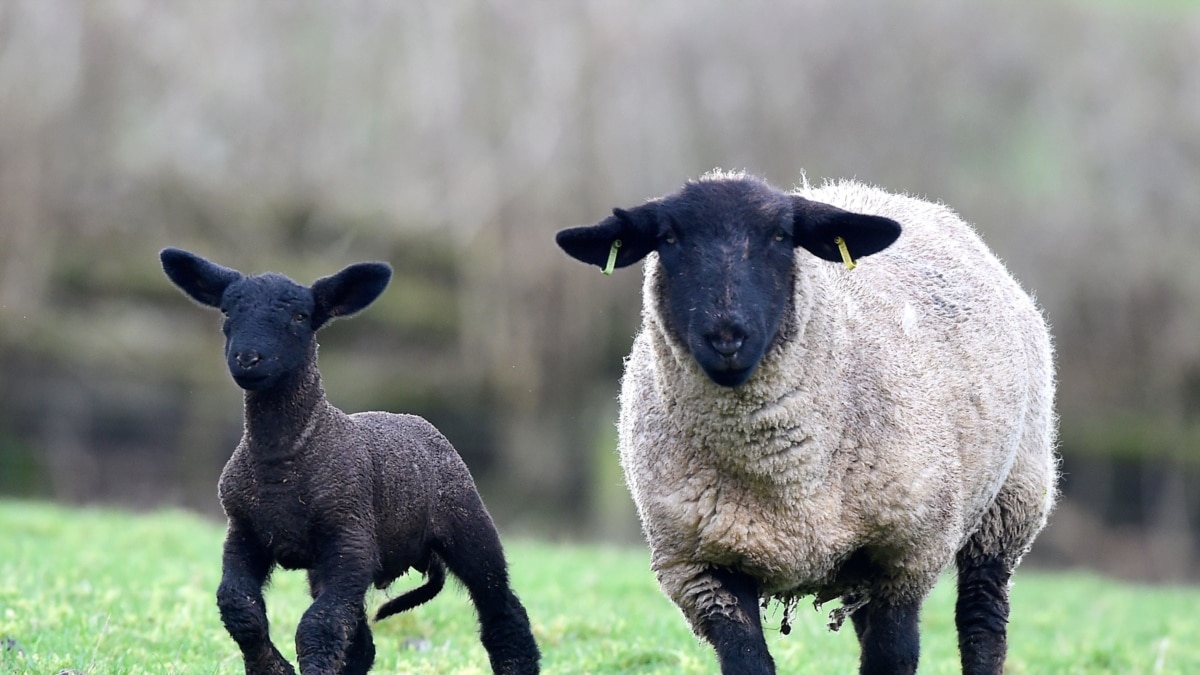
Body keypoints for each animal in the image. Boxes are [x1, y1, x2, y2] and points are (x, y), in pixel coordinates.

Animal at [158, 247, 540, 672]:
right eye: (227, 310)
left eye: (300, 316)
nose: (247, 359)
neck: (285, 457)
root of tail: (413, 419)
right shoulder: (245, 532)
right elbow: (239, 607)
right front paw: (271, 667)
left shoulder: (351, 539)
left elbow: (319, 626)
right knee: (361, 643)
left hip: (466, 521)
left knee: (502, 611)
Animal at [554, 171, 1060, 672]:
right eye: (668, 239)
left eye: (781, 236)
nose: (726, 338)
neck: (785, 477)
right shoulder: (700, 569)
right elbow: (748, 662)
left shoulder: (909, 552)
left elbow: (893, 656)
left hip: (1012, 500)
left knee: (982, 619)